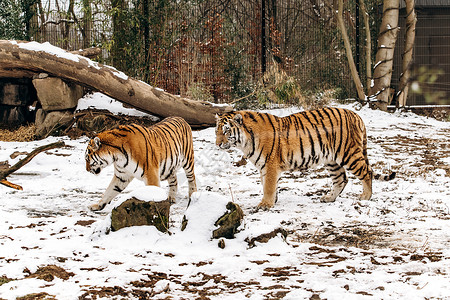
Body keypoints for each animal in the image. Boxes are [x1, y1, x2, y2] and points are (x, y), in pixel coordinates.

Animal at [216, 108, 396, 211]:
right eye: (216, 131)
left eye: (226, 131)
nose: (217, 144)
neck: (245, 141)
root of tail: (356, 115)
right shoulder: (264, 167)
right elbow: (268, 185)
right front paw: (273, 200)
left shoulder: (270, 164)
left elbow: (268, 186)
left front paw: (265, 205)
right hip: (331, 160)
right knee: (341, 179)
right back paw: (328, 198)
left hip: (349, 153)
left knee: (367, 172)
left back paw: (365, 197)